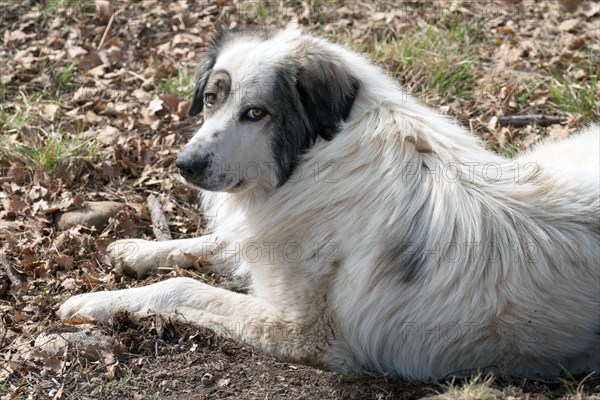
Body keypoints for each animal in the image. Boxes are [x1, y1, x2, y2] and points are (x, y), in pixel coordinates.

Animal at [57, 27, 600, 378]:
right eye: (212, 99)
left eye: (256, 113)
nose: (184, 165)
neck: (318, 158)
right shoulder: (268, 238)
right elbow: (207, 245)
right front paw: (133, 251)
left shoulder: (302, 332)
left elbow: (184, 288)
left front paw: (93, 302)